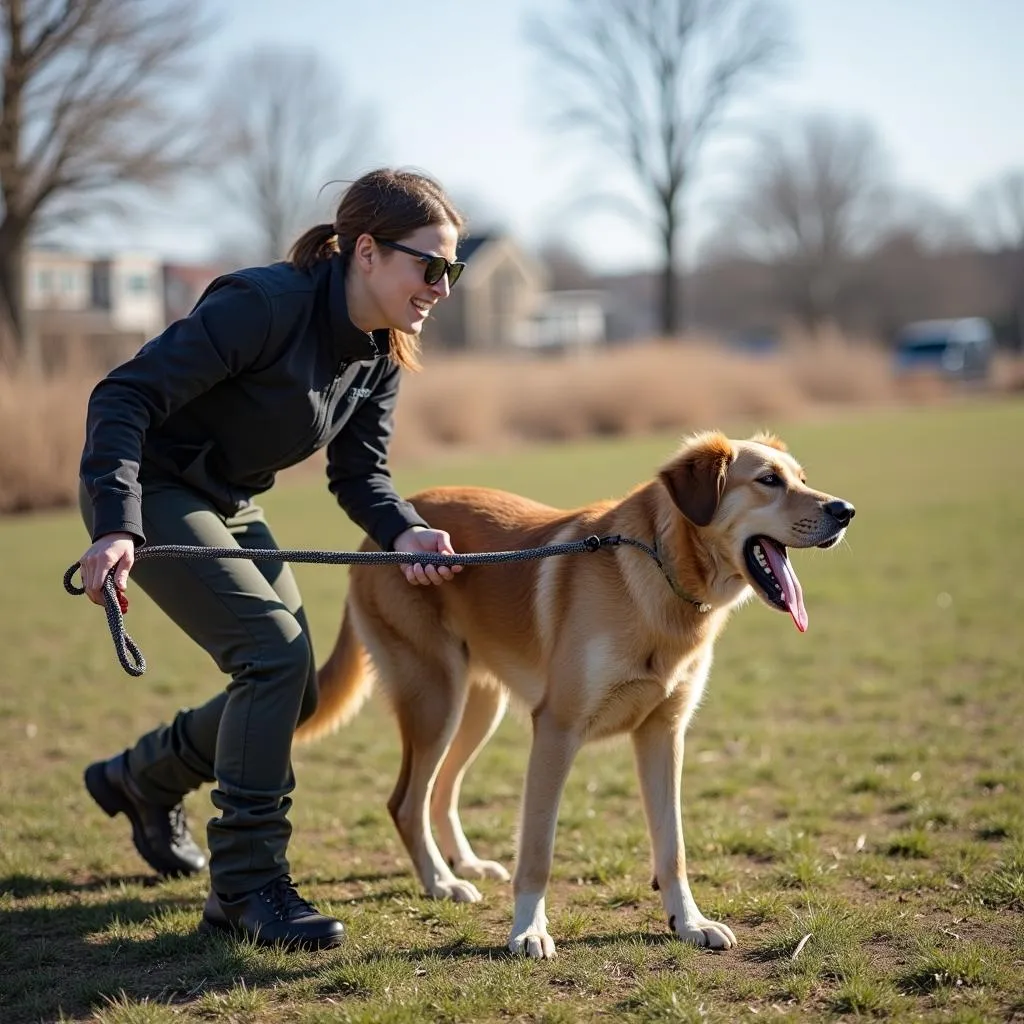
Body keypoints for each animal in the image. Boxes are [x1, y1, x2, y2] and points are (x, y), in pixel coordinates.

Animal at [299, 428, 856, 954]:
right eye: (768, 480)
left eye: (802, 478)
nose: (846, 511)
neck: (659, 572)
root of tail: (373, 542)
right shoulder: (556, 729)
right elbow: (538, 850)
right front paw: (527, 931)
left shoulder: (663, 734)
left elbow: (672, 847)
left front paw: (689, 923)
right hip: (436, 699)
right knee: (406, 801)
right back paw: (442, 883)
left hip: (476, 707)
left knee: (442, 789)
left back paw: (466, 865)